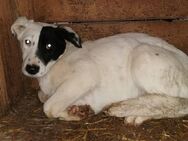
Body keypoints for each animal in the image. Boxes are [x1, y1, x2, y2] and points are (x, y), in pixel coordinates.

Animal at [11, 17, 188, 125]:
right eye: (27, 42)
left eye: (49, 46)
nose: (31, 69)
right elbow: (42, 96)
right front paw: (77, 110)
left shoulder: (85, 75)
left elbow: (48, 107)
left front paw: (73, 113)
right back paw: (136, 115)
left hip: (143, 55)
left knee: (179, 103)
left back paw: (123, 108)